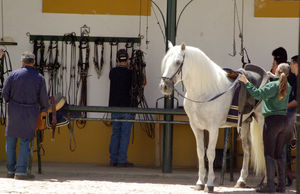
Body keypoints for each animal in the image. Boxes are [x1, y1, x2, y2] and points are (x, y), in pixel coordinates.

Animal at [159, 41, 264, 192]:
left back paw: (266, 182)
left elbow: (210, 153)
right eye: (166, 60)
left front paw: (209, 184)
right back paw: (241, 181)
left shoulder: (213, 128)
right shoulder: (196, 127)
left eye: (178, 62)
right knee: (247, 148)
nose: (164, 86)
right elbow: (200, 152)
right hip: (244, 123)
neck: (204, 92)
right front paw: (199, 182)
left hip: (262, 121)